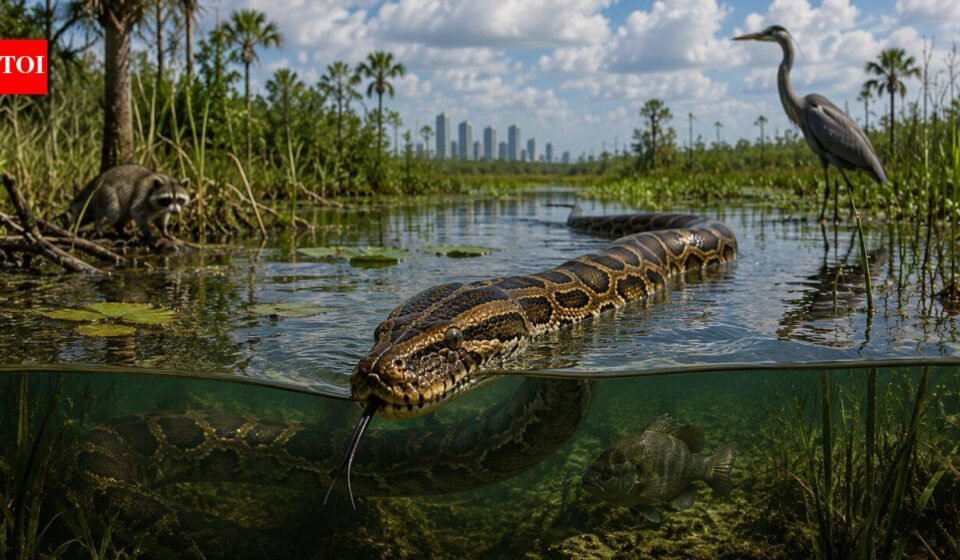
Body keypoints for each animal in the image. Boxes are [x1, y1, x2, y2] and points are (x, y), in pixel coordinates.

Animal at [61, 164, 190, 246]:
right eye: (167, 200)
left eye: (179, 200)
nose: (175, 212)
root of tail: (96, 182)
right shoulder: (142, 195)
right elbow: (137, 212)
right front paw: (148, 235)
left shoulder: (163, 210)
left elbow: (161, 219)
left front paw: (164, 232)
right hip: (105, 192)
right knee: (114, 211)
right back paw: (98, 225)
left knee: (123, 215)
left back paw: (120, 230)